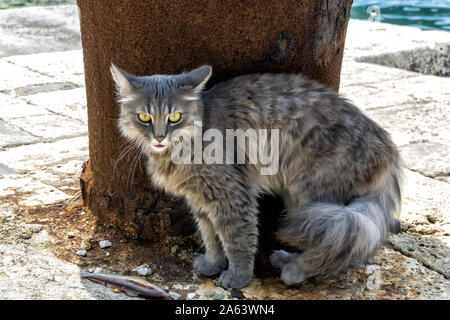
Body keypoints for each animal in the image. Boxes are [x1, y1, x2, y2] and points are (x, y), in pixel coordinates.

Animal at [110, 63, 402, 288]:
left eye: (175, 117)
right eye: (144, 117)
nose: (159, 137)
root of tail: (390, 151)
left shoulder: (231, 194)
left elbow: (237, 240)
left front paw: (237, 277)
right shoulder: (200, 200)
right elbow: (210, 236)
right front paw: (213, 263)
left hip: (315, 196)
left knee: (333, 250)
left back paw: (294, 270)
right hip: (307, 203)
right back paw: (286, 260)